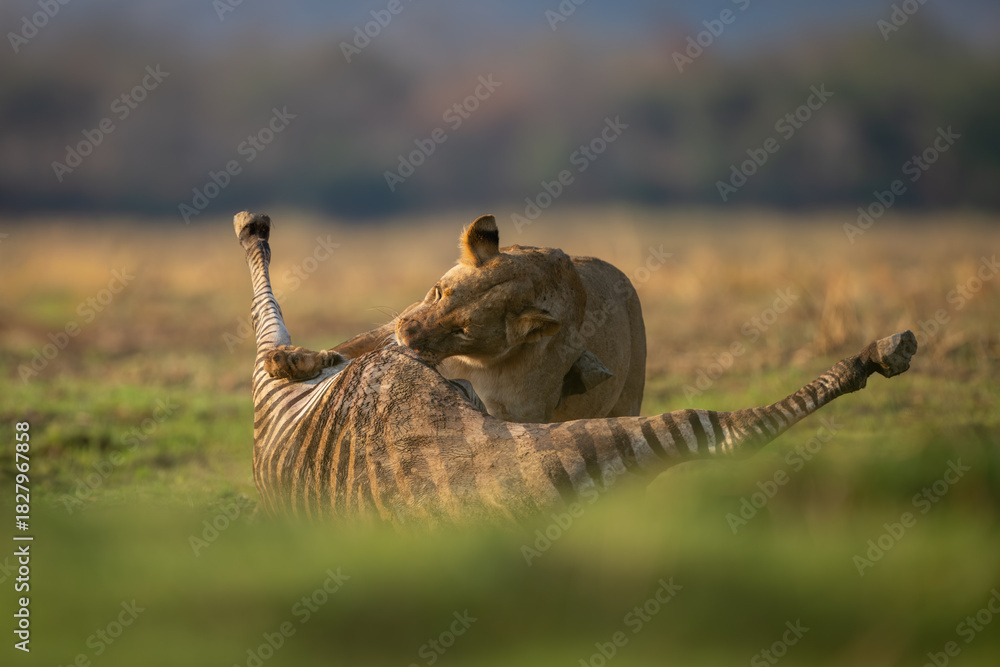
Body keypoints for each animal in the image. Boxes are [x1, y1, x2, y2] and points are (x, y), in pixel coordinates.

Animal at [266, 214, 646, 423]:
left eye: (462, 330)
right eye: (438, 293)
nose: (407, 336)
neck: (470, 361)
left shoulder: (523, 413)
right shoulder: (396, 324)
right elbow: (350, 347)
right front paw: (289, 359)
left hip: (627, 400)